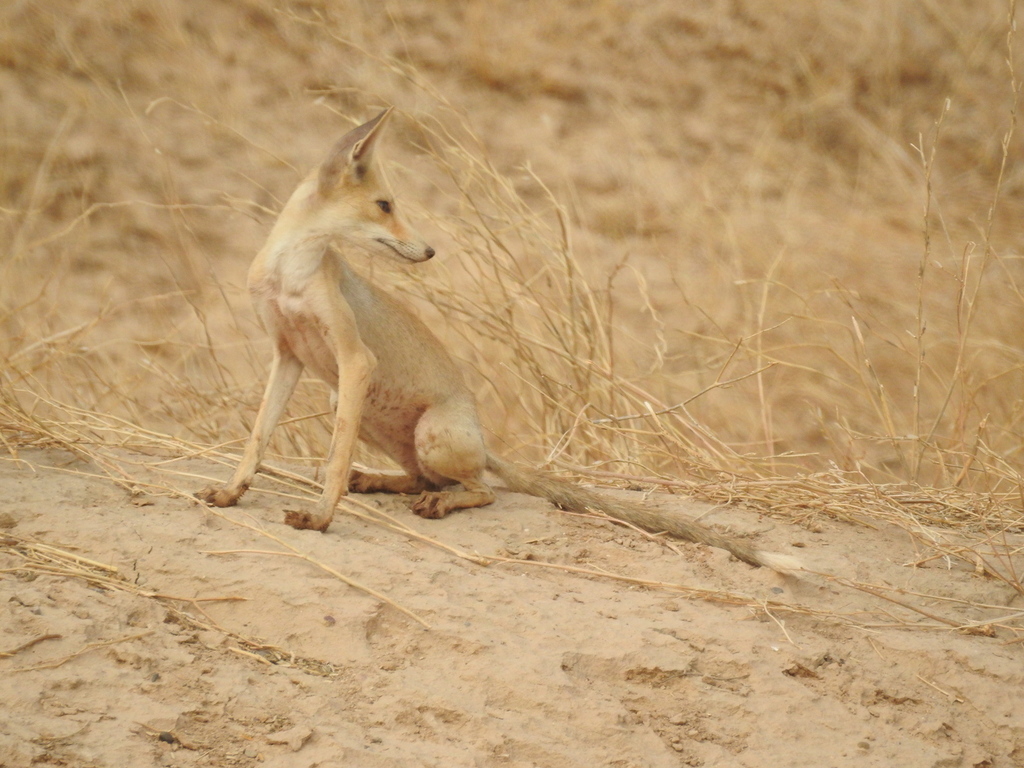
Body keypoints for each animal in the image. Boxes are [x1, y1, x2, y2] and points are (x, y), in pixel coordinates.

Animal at [195, 111, 802, 573]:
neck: (289, 274)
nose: (430, 251)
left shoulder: (353, 359)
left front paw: (321, 517)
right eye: (386, 205)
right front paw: (231, 493)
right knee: (421, 478)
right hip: (366, 413)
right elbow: (257, 441)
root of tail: (483, 441)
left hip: (425, 430)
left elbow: (333, 461)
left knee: (479, 488)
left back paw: (435, 502)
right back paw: (382, 481)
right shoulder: (288, 356)